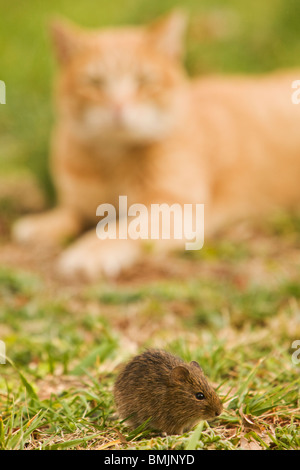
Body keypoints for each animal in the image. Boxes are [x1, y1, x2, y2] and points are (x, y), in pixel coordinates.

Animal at [12, 11, 300, 280]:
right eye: (94, 83)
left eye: (144, 81)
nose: (118, 106)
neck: (112, 160)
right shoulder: (82, 202)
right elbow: (71, 212)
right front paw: (43, 224)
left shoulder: (177, 209)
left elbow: (122, 229)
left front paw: (91, 251)